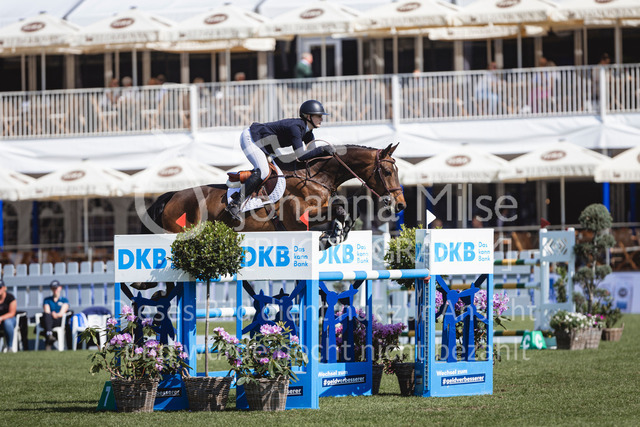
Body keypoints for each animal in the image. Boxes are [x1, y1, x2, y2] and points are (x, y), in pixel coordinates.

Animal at [139, 143, 406, 248]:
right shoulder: (300, 219)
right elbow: (339, 210)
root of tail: (172, 196)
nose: (401, 205)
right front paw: (332, 236)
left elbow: (346, 209)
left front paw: (336, 235)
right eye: (386, 171)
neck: (317, 176)